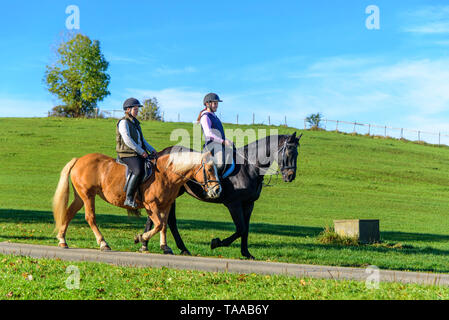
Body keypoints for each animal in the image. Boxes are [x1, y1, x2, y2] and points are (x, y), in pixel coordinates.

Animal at [52, 149, 220, 254]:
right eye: (210, 169)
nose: (217, 190)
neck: (167, 174)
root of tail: (79, 160)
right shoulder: (151, 205)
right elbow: (158, 225)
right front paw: (141, 238)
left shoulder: (165, 205)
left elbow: (164, 226)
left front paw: (165, 247)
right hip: (88, 196)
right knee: (90, 218)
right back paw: (103, 243)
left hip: (80, 197)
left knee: (69, 214)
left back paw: (62, 240)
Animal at [136, 131, 300, 258]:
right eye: (288, 152)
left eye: (297, 153)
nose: (290, 176)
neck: (249, 167)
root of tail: (158, 155)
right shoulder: (234, 204)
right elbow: (240, 228)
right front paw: (216, 243)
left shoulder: (248, 204)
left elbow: (245, 229)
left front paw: (246, 253)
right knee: (168, 220)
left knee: (159, 218)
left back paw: (147, 243)